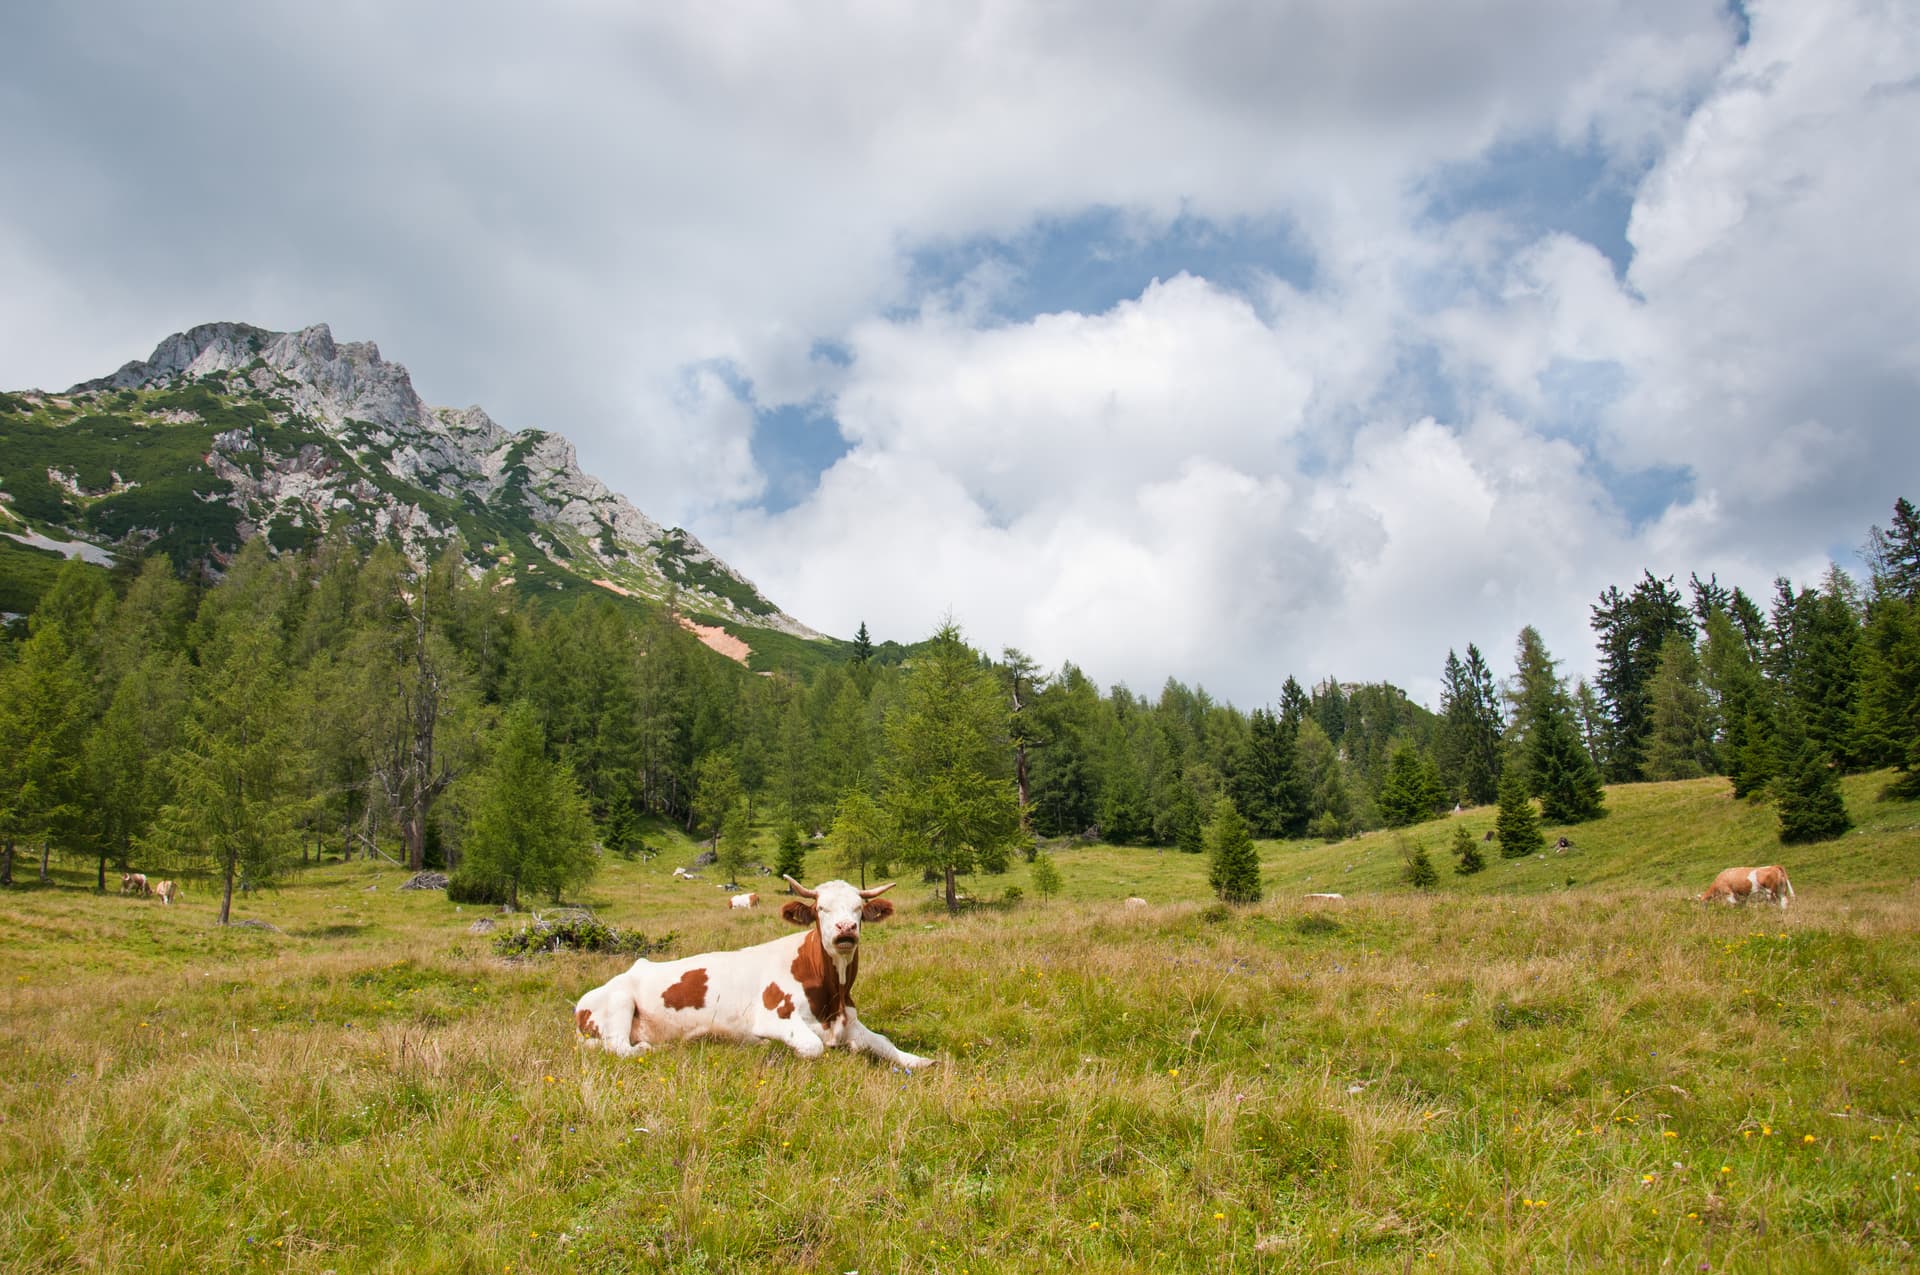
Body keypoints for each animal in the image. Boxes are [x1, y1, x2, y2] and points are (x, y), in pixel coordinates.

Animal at [572, 876, 933, 1069]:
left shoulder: (850, 1021)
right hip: (619, 1001)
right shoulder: (773, 1018)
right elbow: (813, 1047)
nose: (846, 929)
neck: (834, 997)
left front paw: (918, 1060)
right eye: (821, 908)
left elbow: (884, 1042)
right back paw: (649, 1048)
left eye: (858, 909)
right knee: (619, 1047)